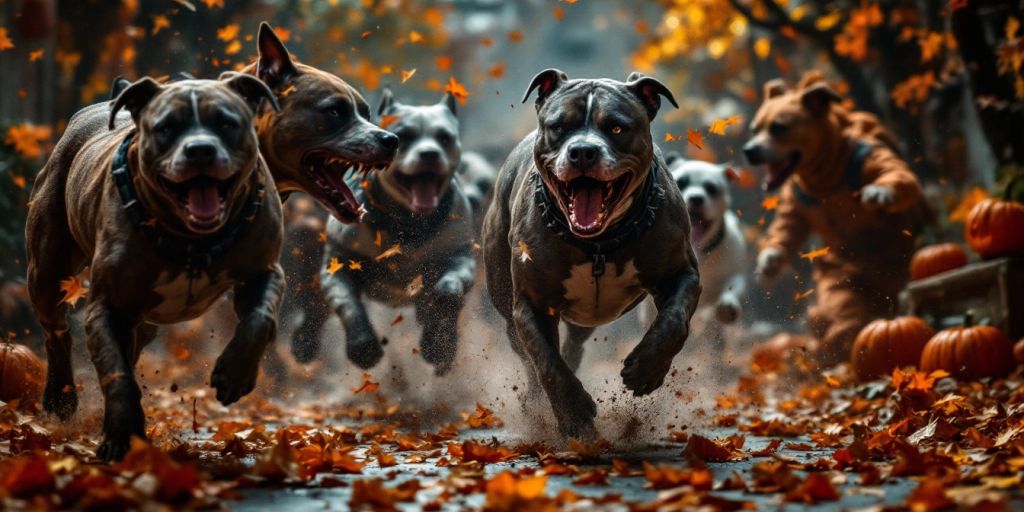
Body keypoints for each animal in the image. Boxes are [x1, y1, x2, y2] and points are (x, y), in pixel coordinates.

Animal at [28, 74, 284, 460]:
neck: (193, 240)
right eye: (166, 128)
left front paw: (235, 374)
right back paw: (60, 397)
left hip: (143, 321)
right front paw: (121, 436)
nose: (200, 150)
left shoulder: (264, 271)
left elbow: (259, 319)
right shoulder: (107, 305)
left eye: (227, 123)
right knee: (56, 332)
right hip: (46, 271)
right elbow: (116, 373)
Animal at [319, 90, 475, 374]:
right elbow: (348, 304)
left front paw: (438, 338)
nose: (429, 154)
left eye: (444, 137)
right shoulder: (338, 264)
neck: (408, 222)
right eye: (404, 136)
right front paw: (363, 346)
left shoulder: (459, 255)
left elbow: (449, 288)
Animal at [483, 69, 700, 440]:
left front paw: (646, 370)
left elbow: (674, 321)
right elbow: (546, 362)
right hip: (506, 306)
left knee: (573, 346)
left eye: (616, 128)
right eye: (559, 126)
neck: (599, 243)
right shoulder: (531, 303)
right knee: (532, 359)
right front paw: (574, 415)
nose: (583, 151)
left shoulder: (682, 272)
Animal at [741, 74, 925, 366]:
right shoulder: (793, 200)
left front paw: (881, 192)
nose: (749, 150)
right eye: (753, 129)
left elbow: (898, 174)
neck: (823, 180)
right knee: (846, 315)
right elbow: (787, 227)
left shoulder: (870, 158)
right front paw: (770, 261)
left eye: (779, 128)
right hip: (840, 275)